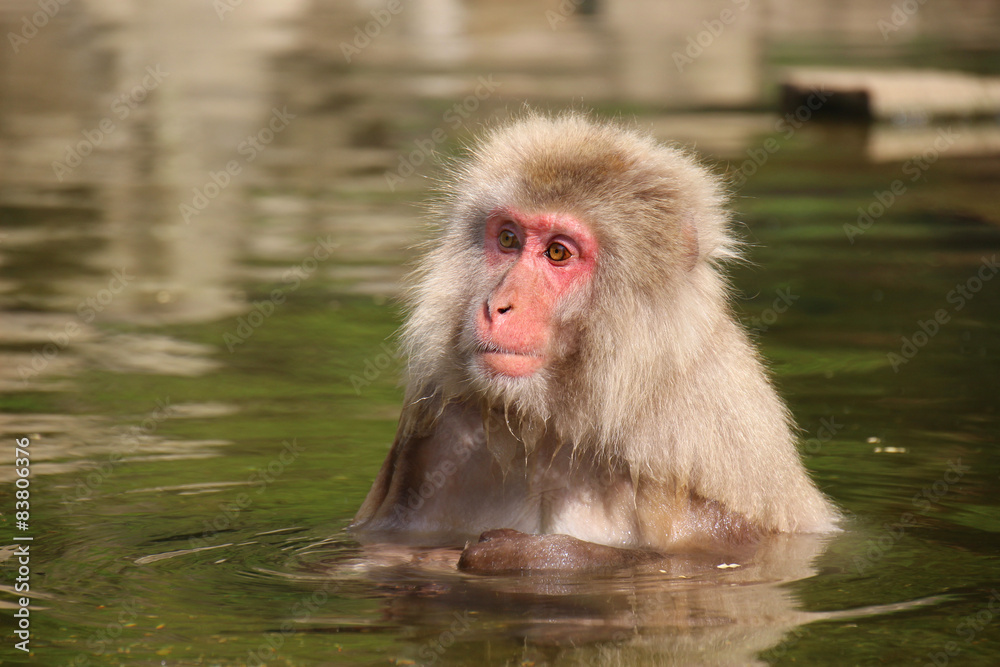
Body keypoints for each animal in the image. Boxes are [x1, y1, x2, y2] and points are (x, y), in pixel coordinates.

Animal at [351, 112, 839, 573]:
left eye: (558, 253)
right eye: (508, 239)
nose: (497, 306)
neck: (560, 426)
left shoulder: (689, 450)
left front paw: (532, 555)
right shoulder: (440, 433)